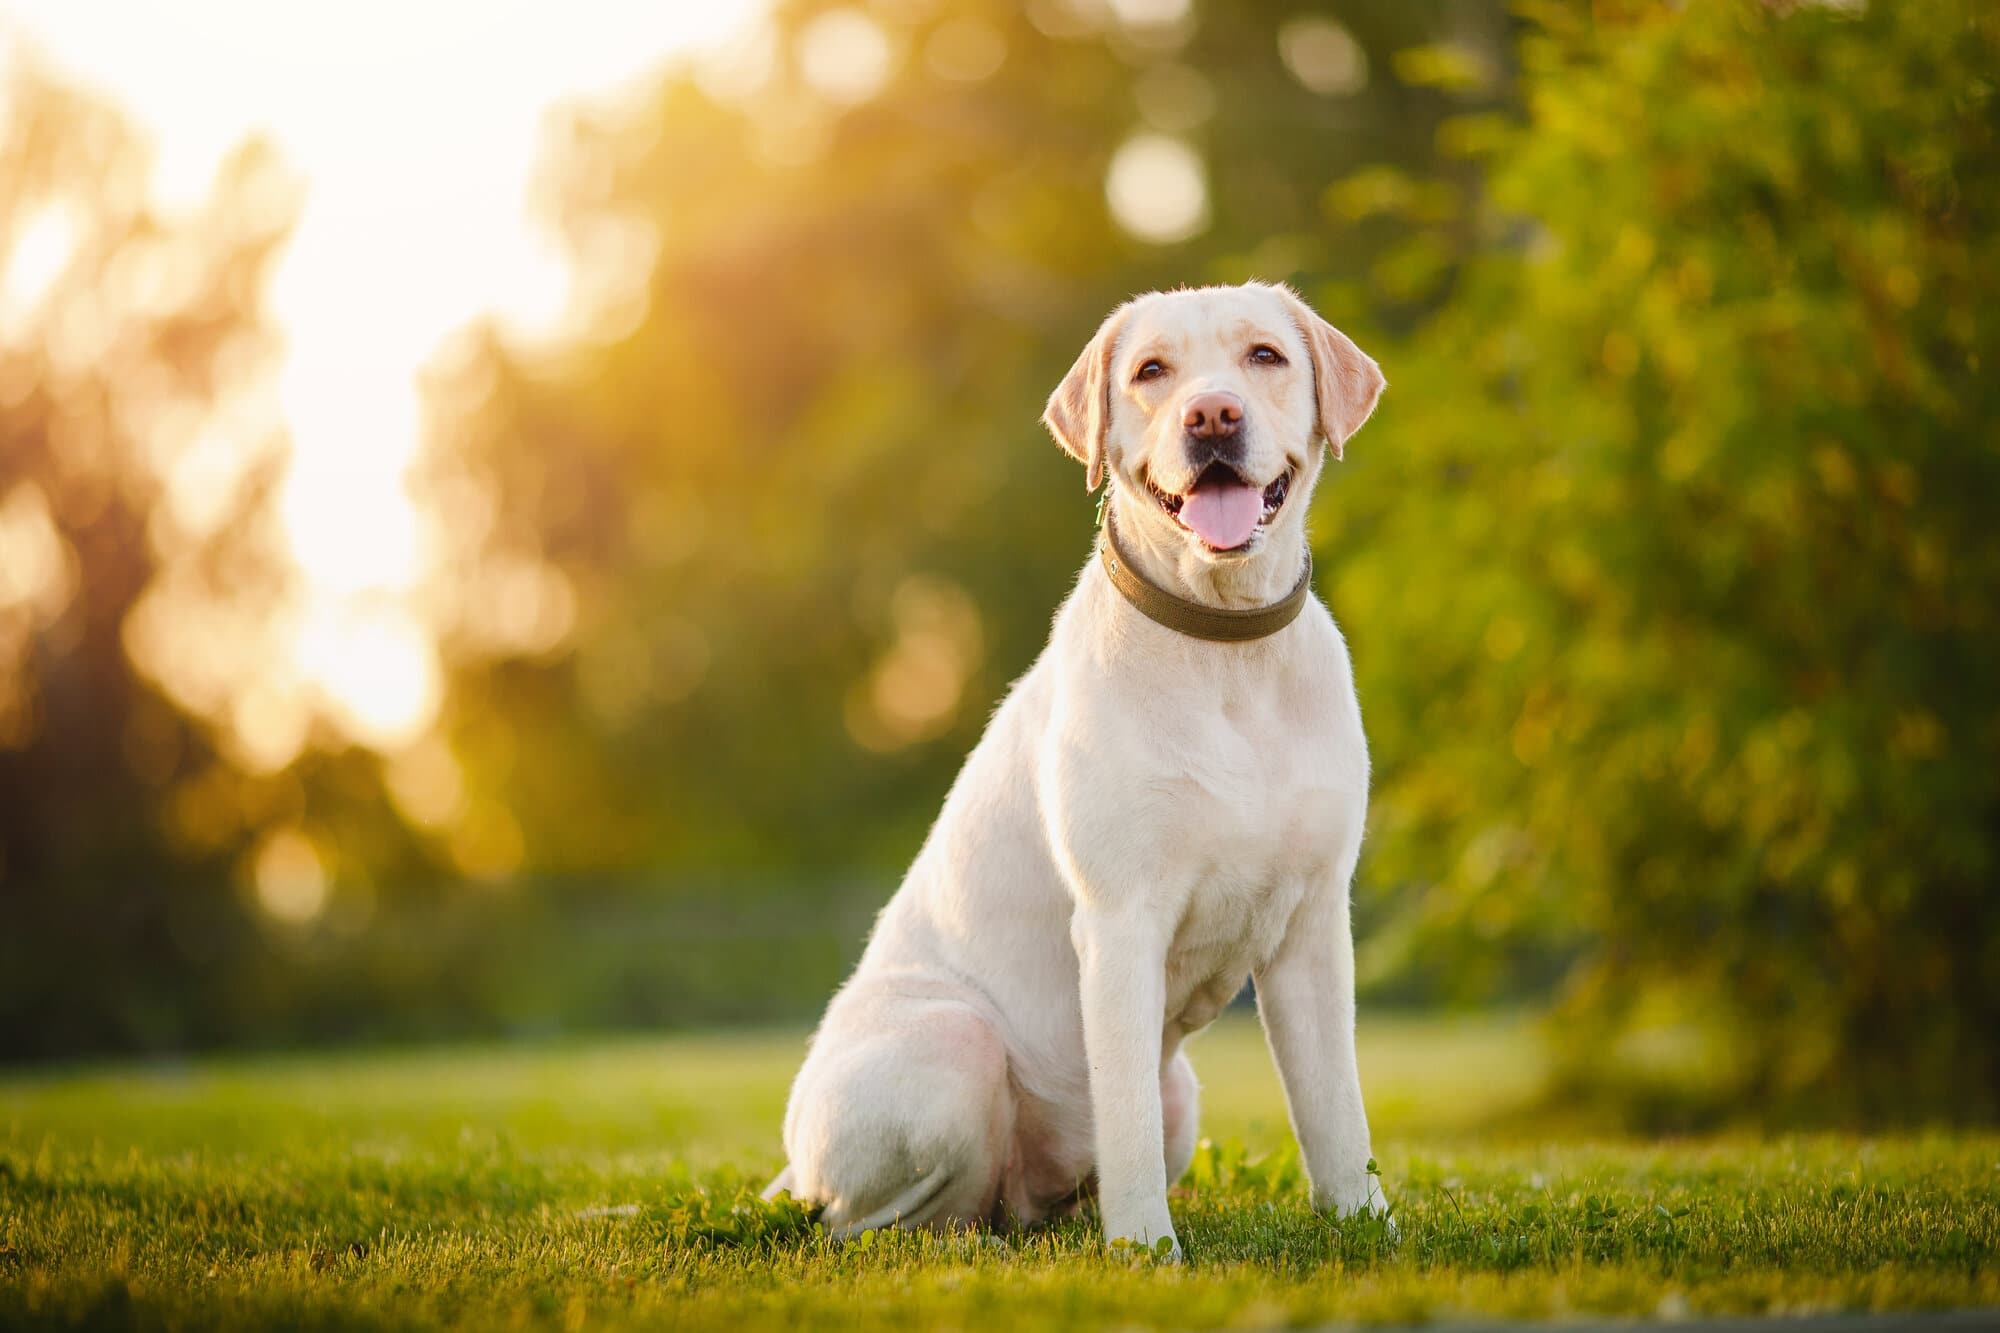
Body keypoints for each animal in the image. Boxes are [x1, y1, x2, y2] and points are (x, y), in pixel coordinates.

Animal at [764, 280, 1392, 1256]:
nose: (1212, 415)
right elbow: (1122, 1112)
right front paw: (1144, 1251)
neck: (1228, 651)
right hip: (952, 1048)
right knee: (872, 1219)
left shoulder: (1312, 925)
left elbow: (1335, 1108)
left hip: (1182, 1094)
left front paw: (1365, 1224)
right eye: (1151, 371)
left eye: (1265, 355)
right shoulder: (1122, 921)